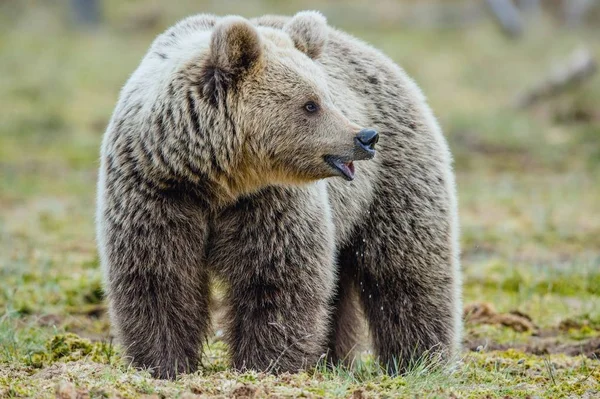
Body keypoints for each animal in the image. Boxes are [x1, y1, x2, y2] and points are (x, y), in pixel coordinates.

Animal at [97, 10, 464, 382]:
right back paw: (335, 360)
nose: (365, 137)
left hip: (392, 183)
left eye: (328, 96)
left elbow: (275, 278)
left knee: (406, 271)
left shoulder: (270, 202)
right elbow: (158, 278)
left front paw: (266, 364)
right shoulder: (157, 192)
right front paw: (163, 364)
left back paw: (420, 360)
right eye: (311, 104)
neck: (217, 178)